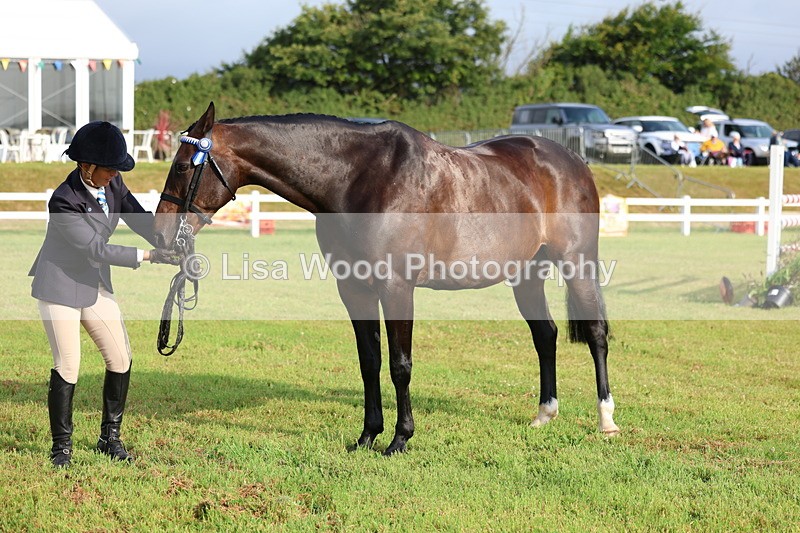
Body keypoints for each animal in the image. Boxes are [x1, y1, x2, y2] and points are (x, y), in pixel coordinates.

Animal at [153, 102, 620, 455]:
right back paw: (544, 414)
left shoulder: (397, 288)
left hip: (577, 262)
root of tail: (572, 160)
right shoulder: (353, 288)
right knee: (545, 335)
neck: (359, 178)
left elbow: (399, 364)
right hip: (526, 274)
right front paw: (367, 436)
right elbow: (369, 362)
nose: (160, 236)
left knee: (596, 333)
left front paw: (399, 439)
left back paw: (607, 419)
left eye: (182, 167)